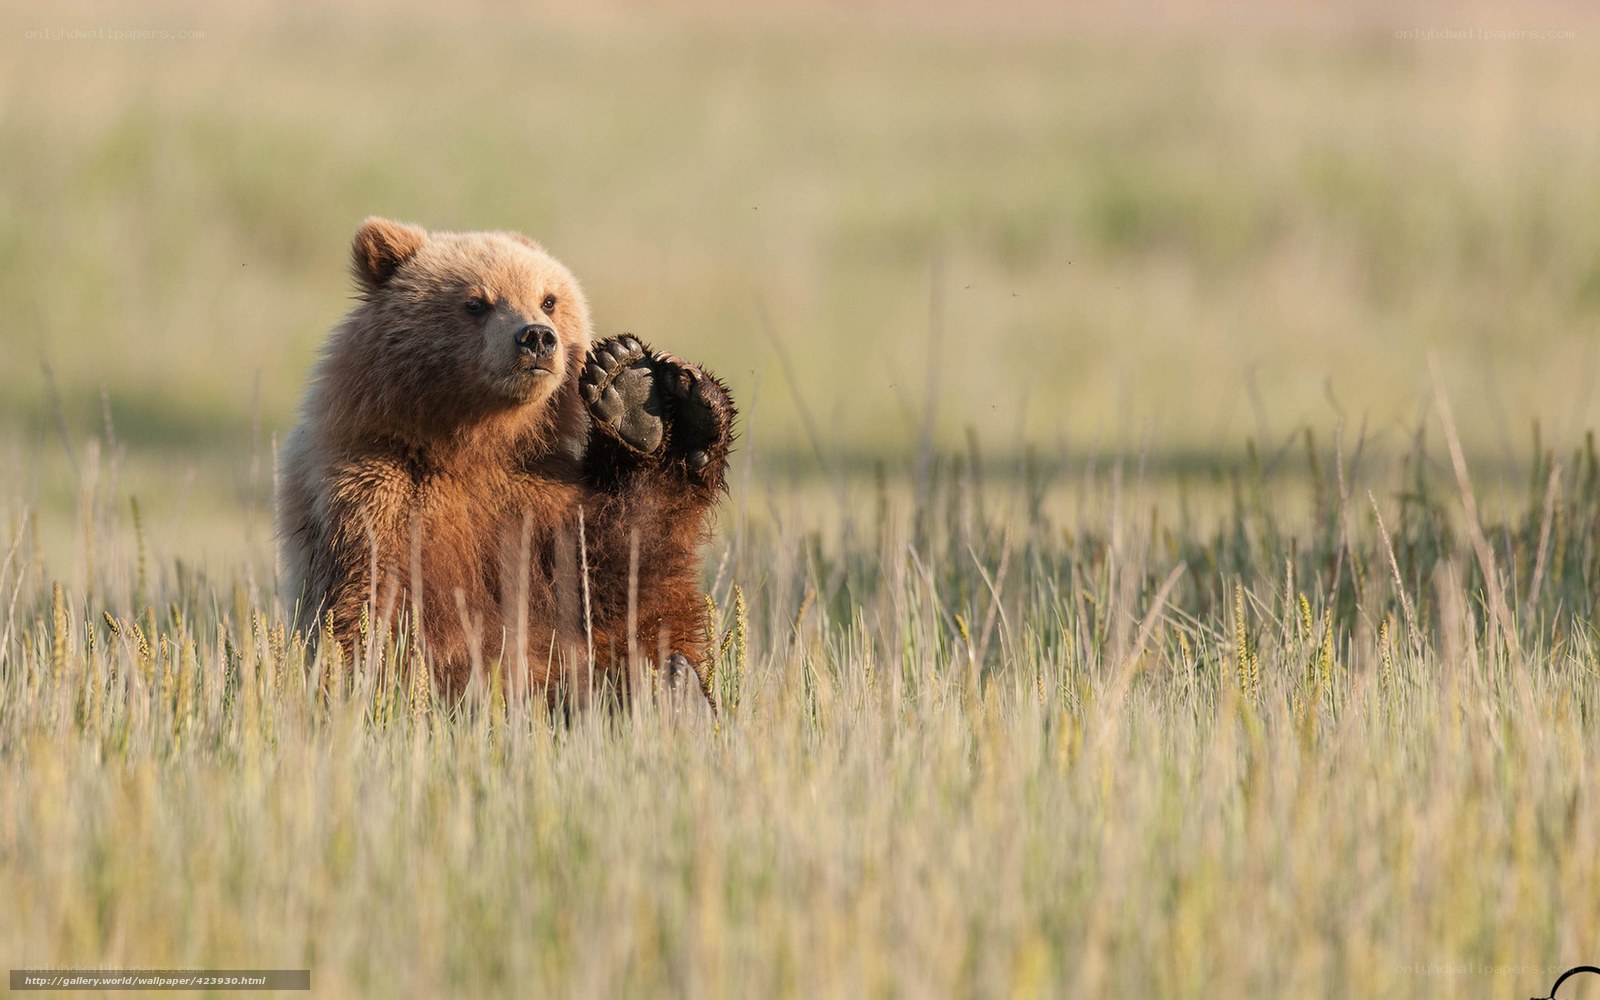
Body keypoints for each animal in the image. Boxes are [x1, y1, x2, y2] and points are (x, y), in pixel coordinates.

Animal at [274, 217, 734, 706]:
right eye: (476, 302)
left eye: (548, 299)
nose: (536, 337)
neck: (471, 445)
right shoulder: (378, 497)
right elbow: (382, 610)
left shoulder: (539, 501)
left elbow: (617, 578)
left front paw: (631, 388)